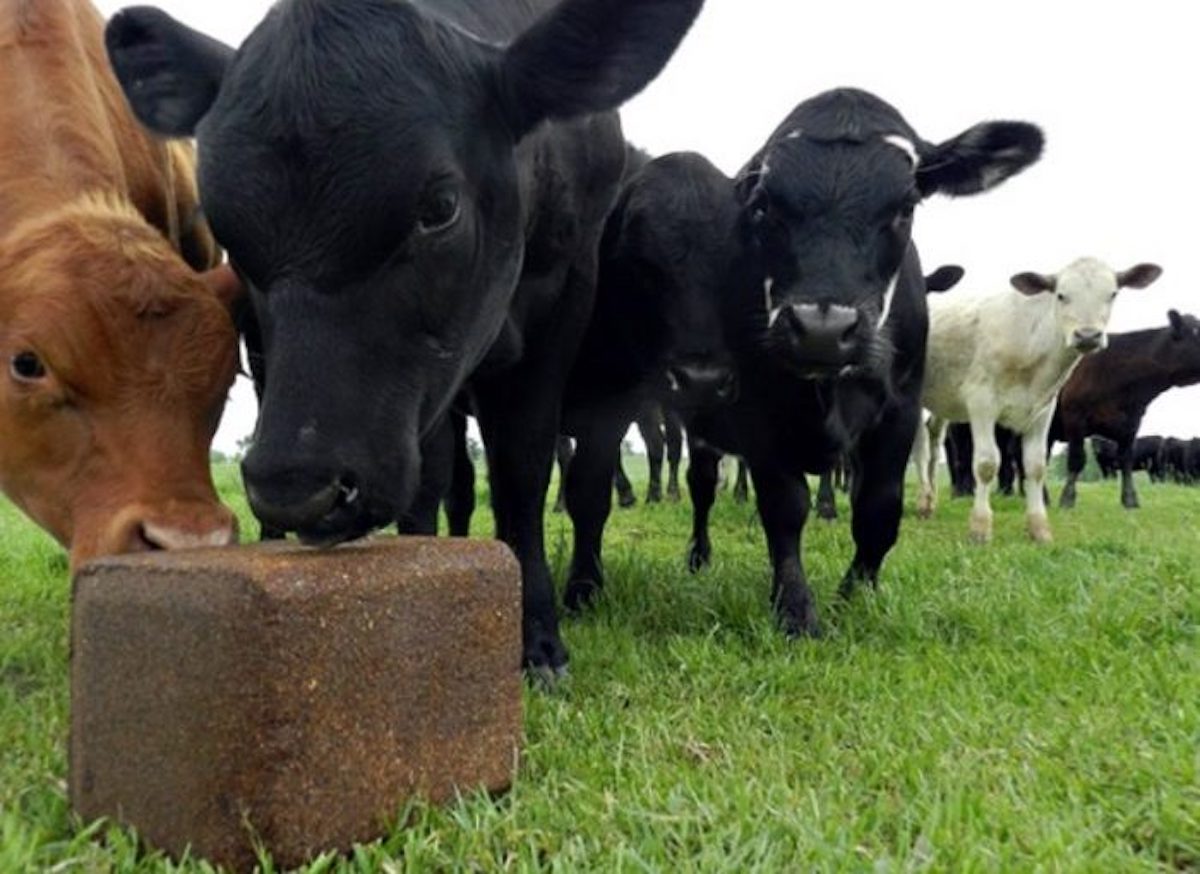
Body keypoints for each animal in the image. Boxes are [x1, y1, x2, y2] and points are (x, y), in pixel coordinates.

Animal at [106, 0, 705, 676]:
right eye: (228, 229)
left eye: (440, 206)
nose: (296, 488)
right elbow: (435, 480)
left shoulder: (564, 312)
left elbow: (527, 473)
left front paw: (539, 636)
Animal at [677, 88, 1042, 635]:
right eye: (764, 205)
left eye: (906, 206)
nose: (823, 330)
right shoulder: (761, 407)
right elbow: (784, 506)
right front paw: (795, 609)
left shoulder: (902, 408)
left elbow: (879, 509)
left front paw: (854, 597)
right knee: (701, 486)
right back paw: (698, 558)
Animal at [914, 257, 1161, 542]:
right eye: (1061, 295)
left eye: (1112, 294)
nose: (1088, 335)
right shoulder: (981, 400)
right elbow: (987, 463)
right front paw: (980, 528)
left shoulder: (1043, 409)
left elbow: (1035, 466)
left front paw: (1039, 529)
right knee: (920, 447)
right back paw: (922, 501)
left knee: (933, 440)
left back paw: (930, 500)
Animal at [1051, 311, 1199, 508]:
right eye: (1197, 332)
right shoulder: (1075, 417)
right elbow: (1077, 459)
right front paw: (1067, 499)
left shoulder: (1131, 423)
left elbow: (1126, 461)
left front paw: (1130, 501)